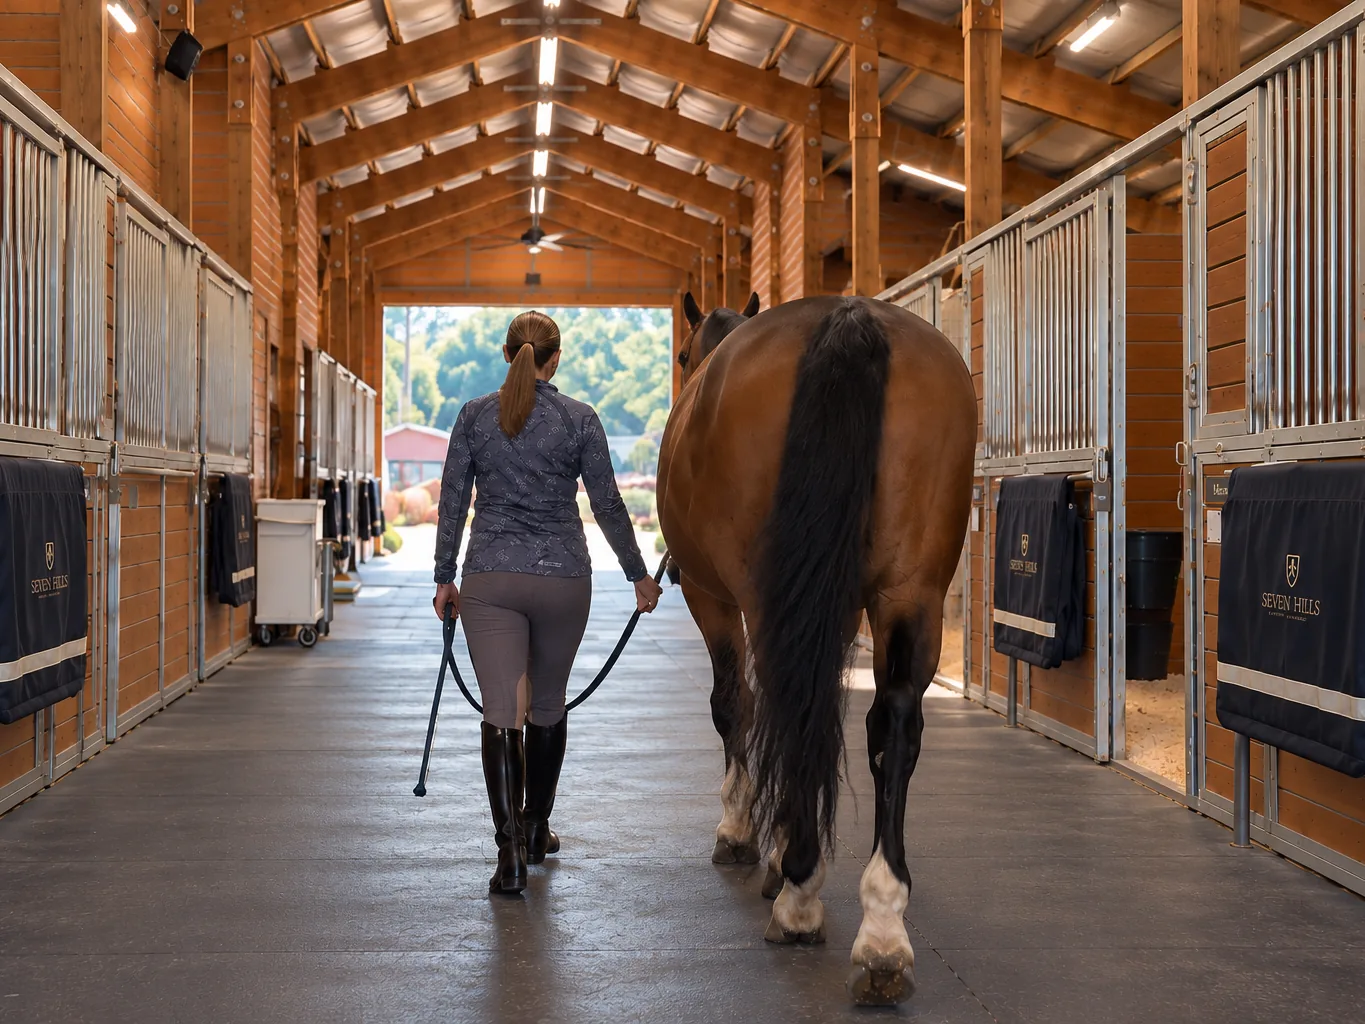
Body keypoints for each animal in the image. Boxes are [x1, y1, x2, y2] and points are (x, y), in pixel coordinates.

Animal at [656, 290, 976, 1005]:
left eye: (683, 355)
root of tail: (848, 318)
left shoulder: (711, 598)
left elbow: (734, 704)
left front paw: (748, 835)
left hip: (764, 592)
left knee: (785, 701)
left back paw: (799, 893)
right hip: (912, 591)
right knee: (893, 724)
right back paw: (883, 931)